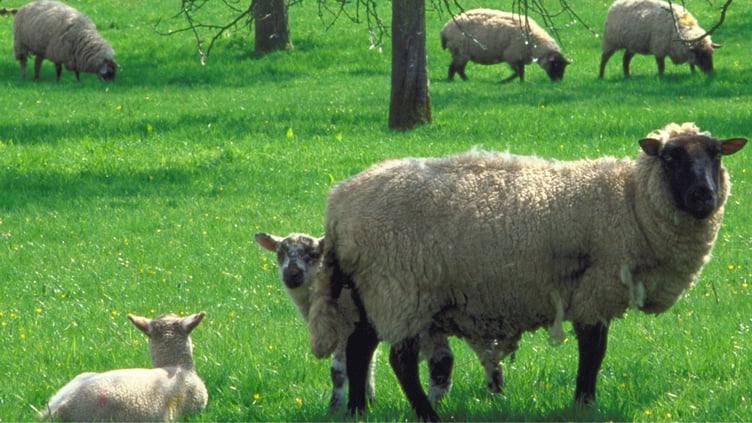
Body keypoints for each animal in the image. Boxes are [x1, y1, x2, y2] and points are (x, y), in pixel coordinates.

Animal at [255, 232, 510, 413]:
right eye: (280, 253)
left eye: (312, 254)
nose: (292, 275)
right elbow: (366, 365)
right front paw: (369, 401)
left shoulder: (347, 327)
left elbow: (339, 371)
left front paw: (335, 409)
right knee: (467, 357)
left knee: (476, 357)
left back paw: (493, 395)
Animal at [308, 122, 747, 421]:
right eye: (672, 158)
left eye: (716, 155)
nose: (704, 196)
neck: (630, 201)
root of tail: (338, 203)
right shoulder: (595, 291)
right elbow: (594, 353)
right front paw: (584, 403)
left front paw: (583, 403)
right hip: (400, 289)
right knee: (399, 359)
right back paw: (426, 415)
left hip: (370, 290)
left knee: (360, 346)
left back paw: (358, 411)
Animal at [440, 8, 570, 83]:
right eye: (556, 65)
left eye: (563, 66)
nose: (558, 82)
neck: (534, 43)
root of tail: (445, 29)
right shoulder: (512, 56)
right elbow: (517, 72)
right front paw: (504, 82)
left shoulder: (519, 57)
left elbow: (521, 72)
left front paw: (521, 83)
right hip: (460, 51)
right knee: (454, 67)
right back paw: (454, 81)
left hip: (461, 53)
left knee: (458, 68)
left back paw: (463, 80)